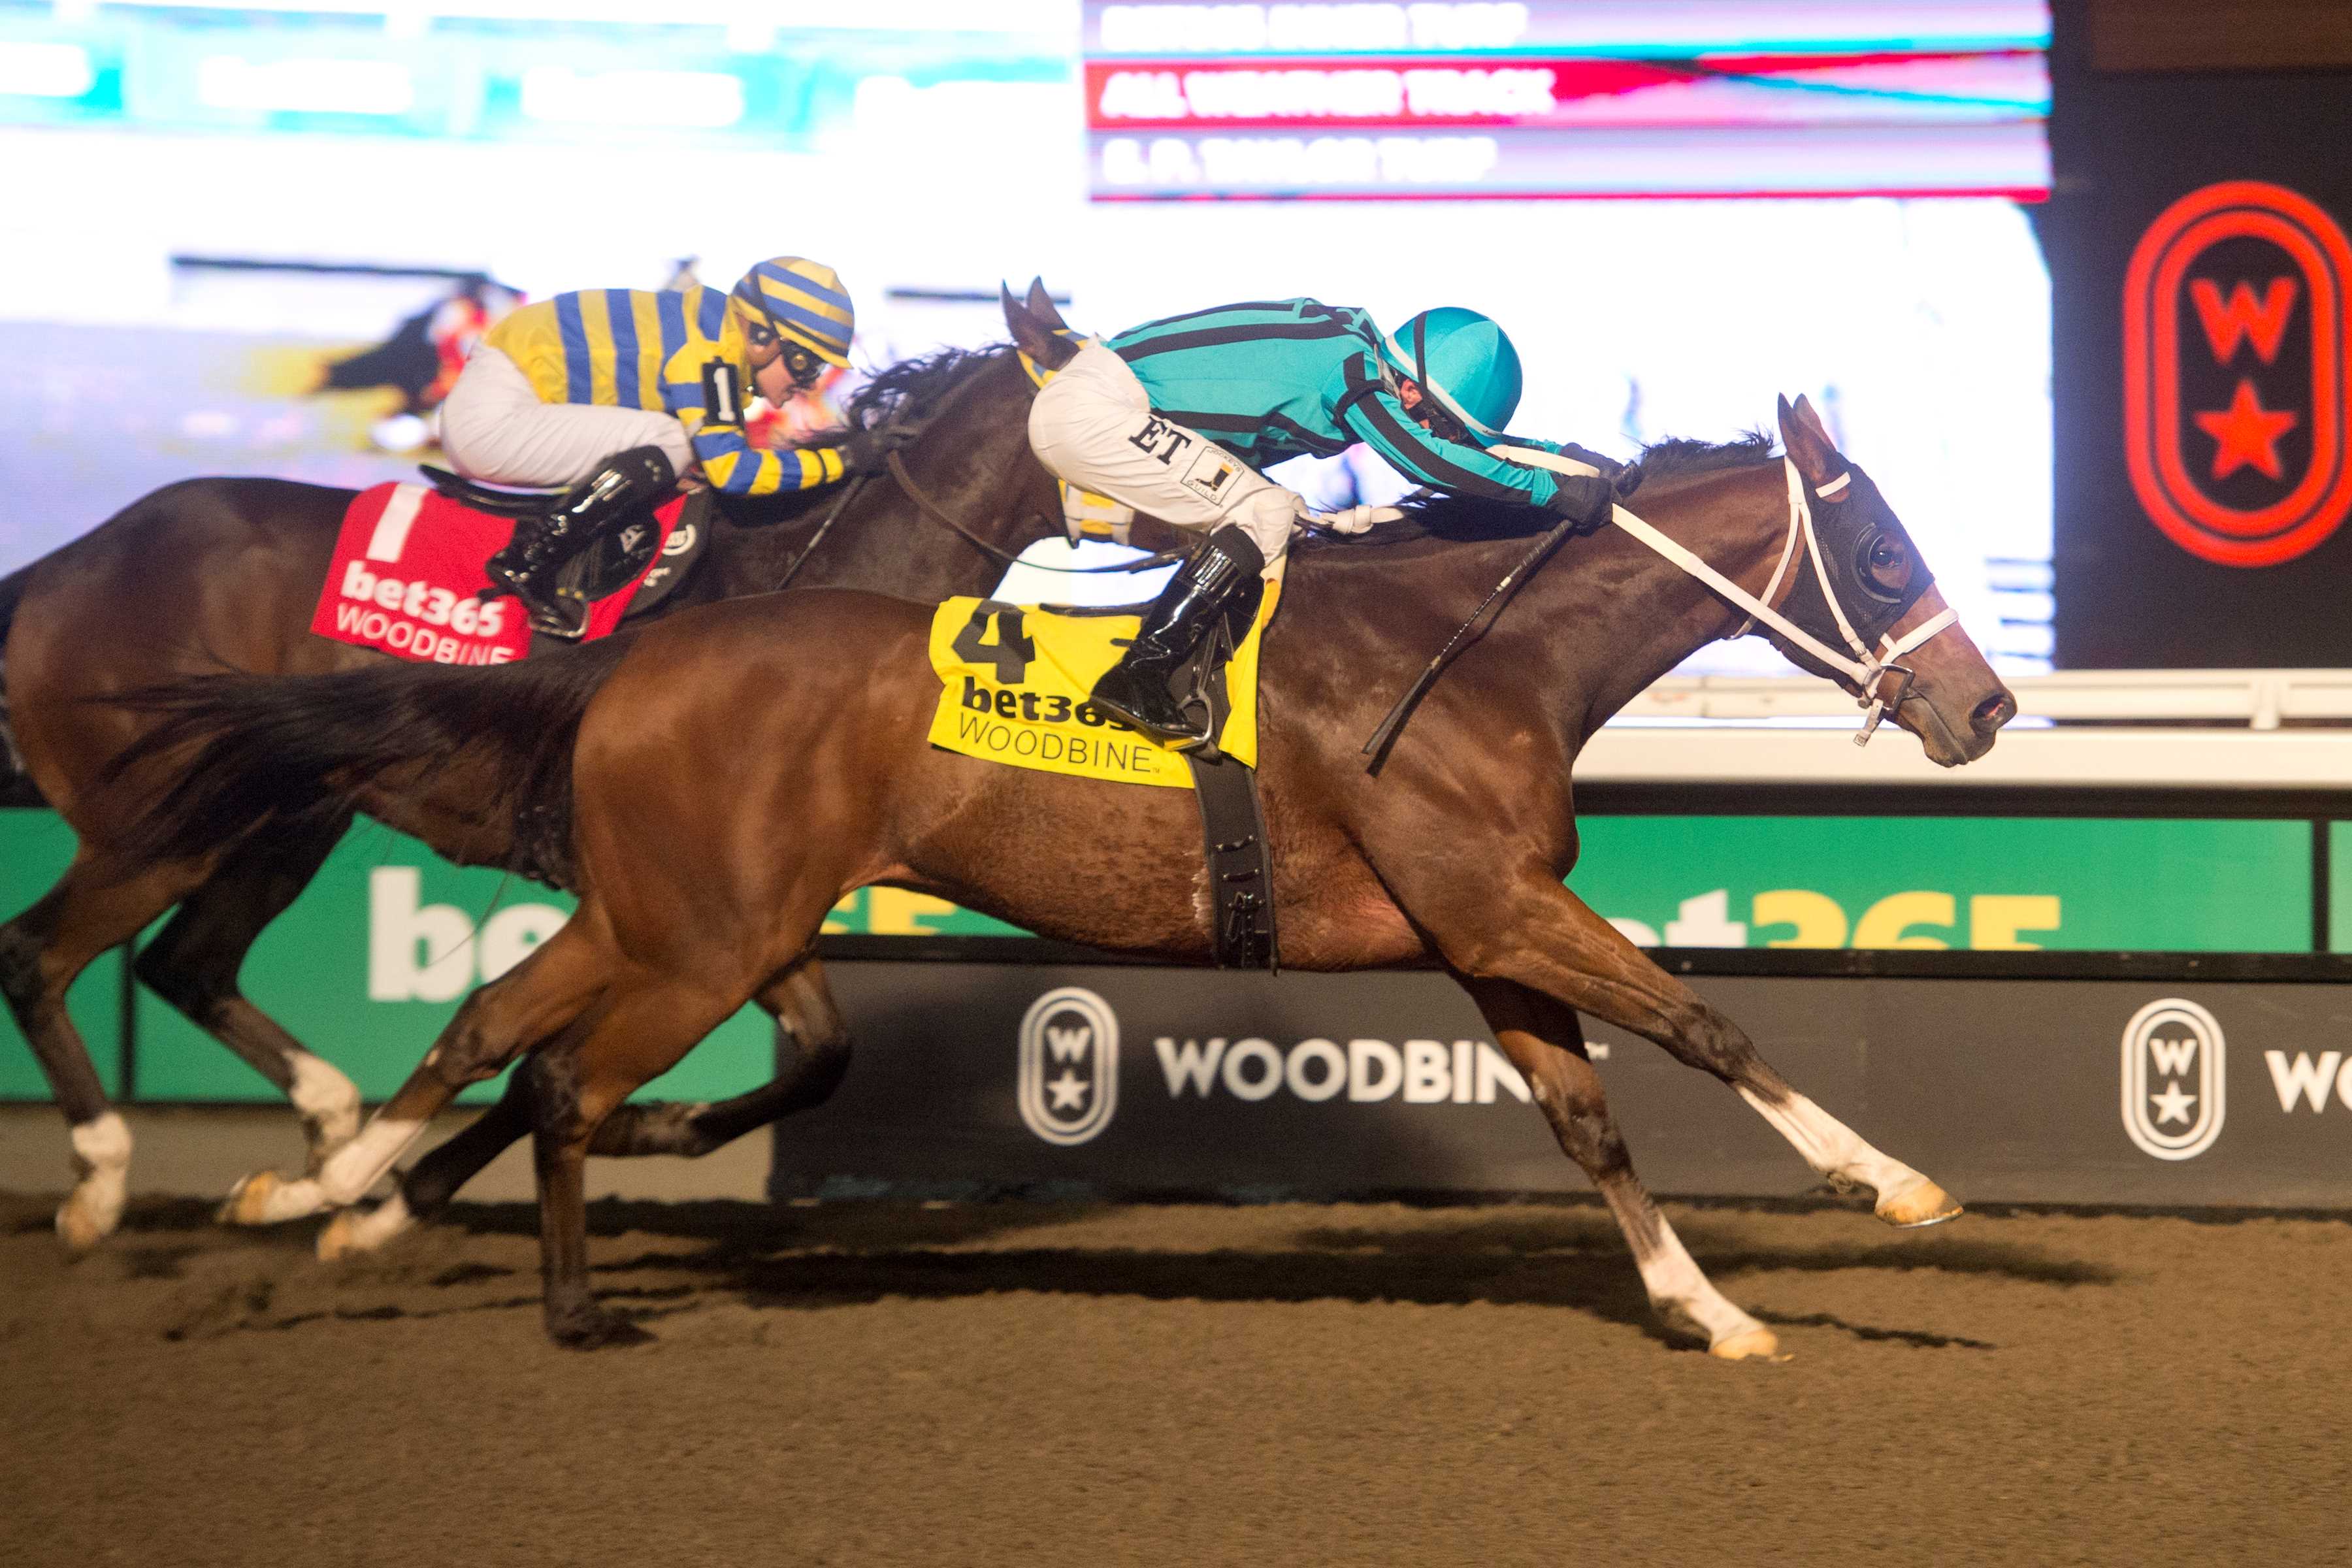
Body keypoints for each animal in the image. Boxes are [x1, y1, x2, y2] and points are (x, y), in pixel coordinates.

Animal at [0, 301, 1082, 1250]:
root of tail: (64, 566)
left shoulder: (753, 903)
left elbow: (822, 1053)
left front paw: (646, 1126)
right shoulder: (697, 898)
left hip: (282, 819)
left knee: (185, 965)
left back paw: (320, 1133)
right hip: (156, 824)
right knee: (36, 953)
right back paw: (101, 1185)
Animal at [114, 371, 2023, 1363]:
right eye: (1876, 546)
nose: (1989, 705)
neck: (1477, 654)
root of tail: (640, 654)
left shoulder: (1482, 931)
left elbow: (1590, 1115)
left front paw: (1706, 1305)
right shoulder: (1493, 899)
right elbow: (1704, 1025)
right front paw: (1897, 1184)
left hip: (661, 911)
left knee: (494, 1028)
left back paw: (322, 1193)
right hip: (710, 934)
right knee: (562, 1073)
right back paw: (536, 1285)